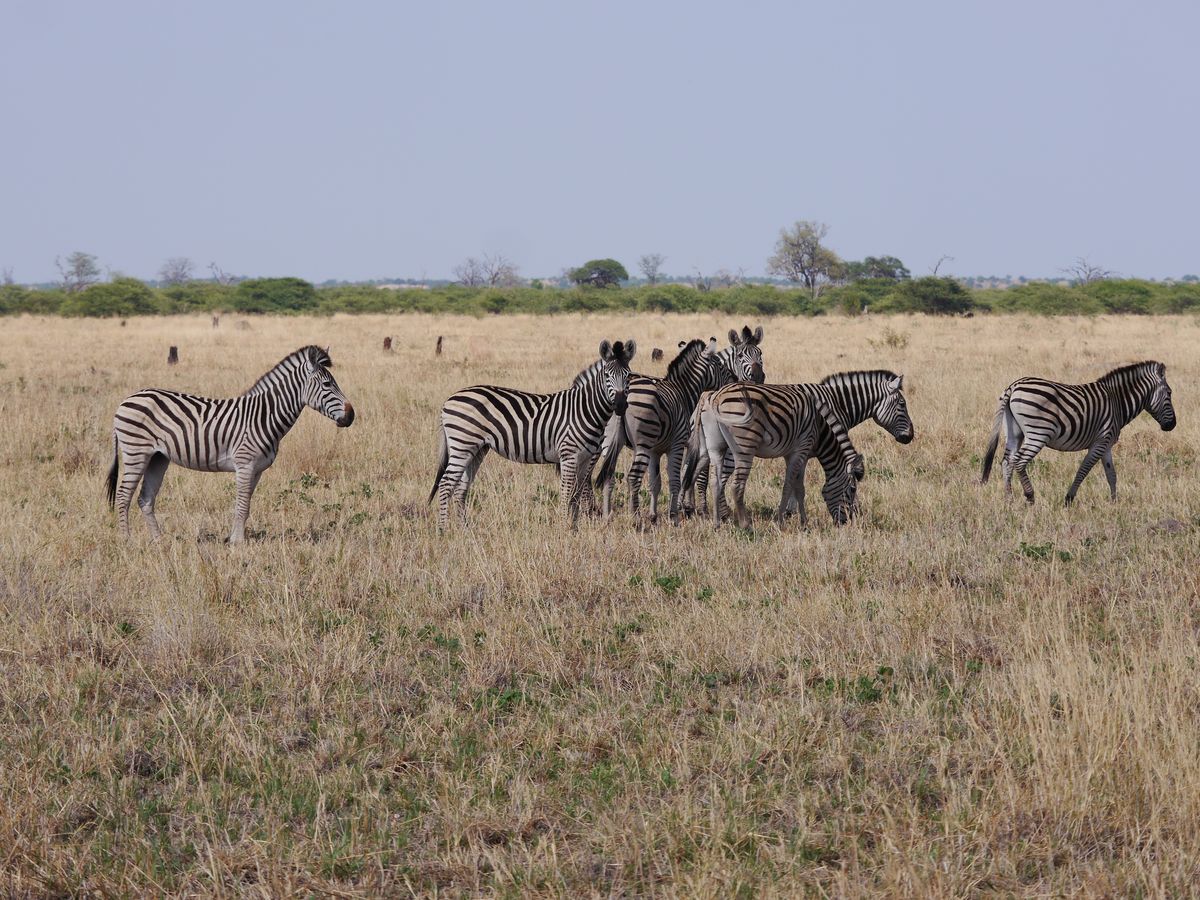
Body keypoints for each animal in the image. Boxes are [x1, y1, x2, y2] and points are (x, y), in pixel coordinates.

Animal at [106, 345, 355, 543]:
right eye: (327, 384)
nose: (351, 416)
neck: (264, 416)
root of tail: (127, 400)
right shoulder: (245, 464)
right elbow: (242, 505)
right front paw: (238, 544)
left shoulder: (257, 469)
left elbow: (246, 505)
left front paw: (234, 539)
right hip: (136, 452)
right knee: (123, 496)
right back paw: (127, 541)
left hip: (158, 457)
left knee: (145, 498)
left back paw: (159, 541)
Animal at [429, 339, 636, 529]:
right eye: (607, 375)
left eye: (628, 376)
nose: (620, 406)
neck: (584, 409)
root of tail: (449, 399)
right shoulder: (569, 455)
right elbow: (567, 492)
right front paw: (564, 529)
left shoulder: (585, 458)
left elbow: (576, 493)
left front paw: (574, 529)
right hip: (462, 443)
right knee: (446, 483)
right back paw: (443, 530)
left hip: (477, 448)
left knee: (461, 487)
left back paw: (464, 529)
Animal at [589, 324, 766, 521]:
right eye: (740, 356)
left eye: (760, 353)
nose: (758, 377)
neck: (682, 390)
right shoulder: (684, 443)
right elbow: (689, 477)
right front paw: (691, 511)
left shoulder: (659, 449)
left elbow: (662, 480)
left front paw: (668, 512)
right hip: (637, 443)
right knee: (627, 476)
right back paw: (630, 516)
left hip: (611, 442)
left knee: (607, 475)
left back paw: (606, 515)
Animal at [685, 370, 913, 523]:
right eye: (902, 405)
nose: (910, 436)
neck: (837, 402)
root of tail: (709, 397)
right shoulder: (810, 446)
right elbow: (796, 483)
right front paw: (790, 513)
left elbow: (795, 482)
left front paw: (790, 512)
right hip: (736, 448)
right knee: (719, 477)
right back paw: (722, 514)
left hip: (705, 445)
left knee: (694, 472)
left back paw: (690, 509)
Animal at [981, 360, 1176, 504]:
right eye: (1169, 393)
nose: (1172, 425)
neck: (1117, 402)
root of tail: (1013, 386)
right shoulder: (1100, 442)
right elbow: (1083, 470)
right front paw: (1069, 499)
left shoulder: (1107, 445)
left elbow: (1111, 474)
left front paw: (1114, 503)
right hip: (1038, 434)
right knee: (1019, 461)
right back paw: (1030, 496)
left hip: (1014, 432)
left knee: (1007, 462)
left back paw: (1009, 499)